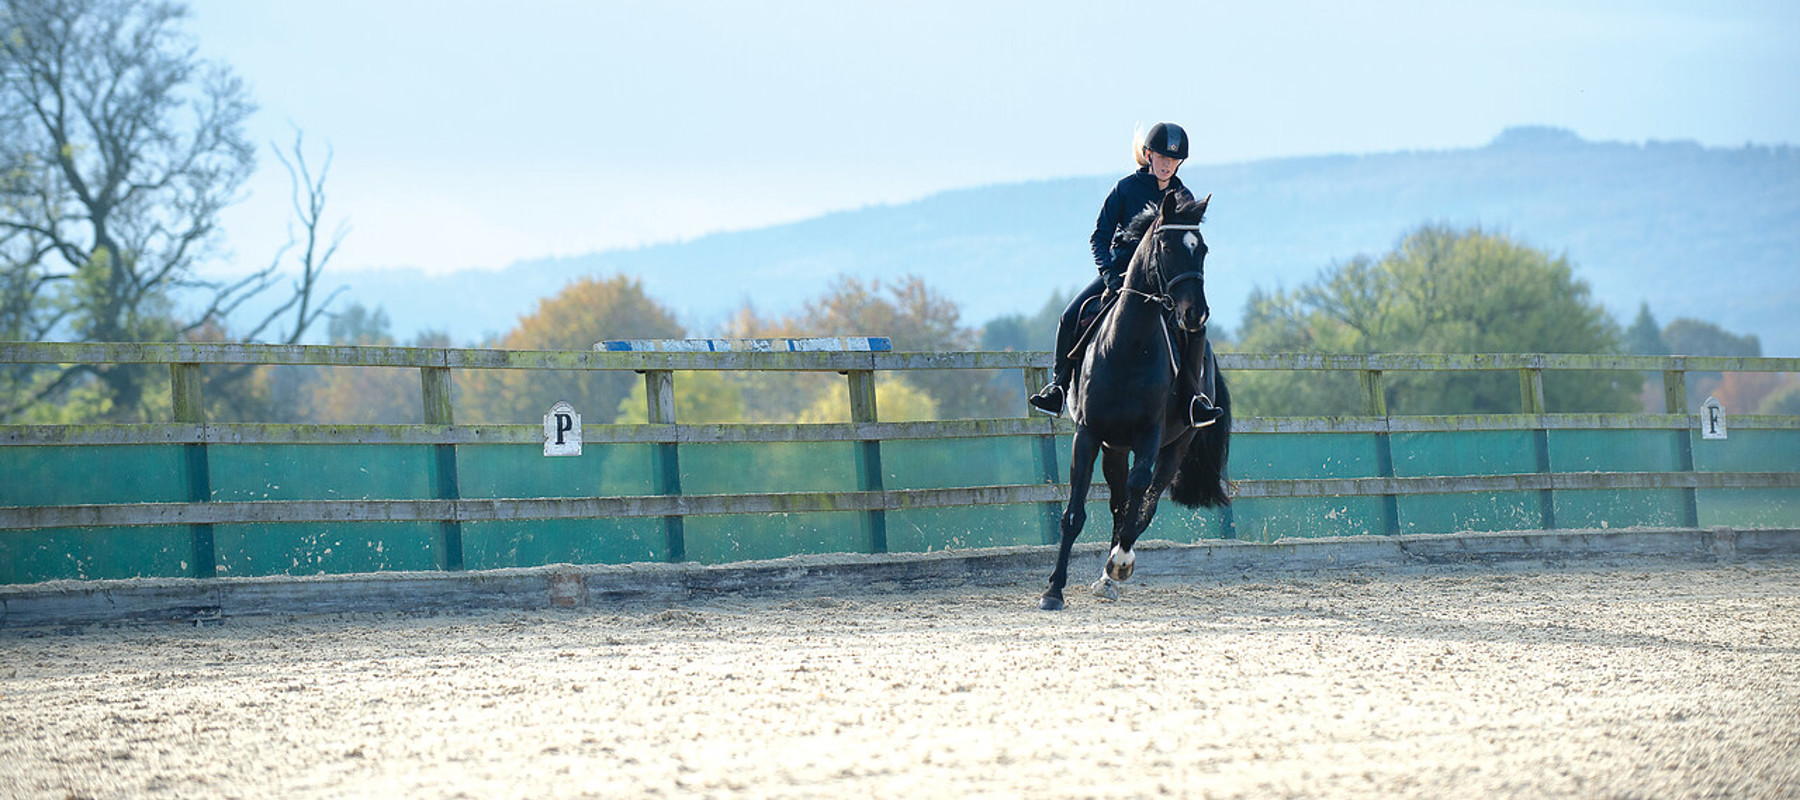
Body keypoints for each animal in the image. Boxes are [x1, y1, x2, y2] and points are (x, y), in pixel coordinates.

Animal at [1039, 192, 1233, 611]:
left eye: (1202, 249)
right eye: (1166, 246)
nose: (1195, 314)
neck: (1129, 345)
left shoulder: (1150, 434)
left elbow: (1139, 494)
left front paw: (1120, 562)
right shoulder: (1088, 434)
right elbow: (1073, 514)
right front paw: (1053, 590)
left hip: (1176, 446)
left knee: (1145, 502)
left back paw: (1115, 569)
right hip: (1114, 447)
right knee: (1119, 503)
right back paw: (1104, 578)